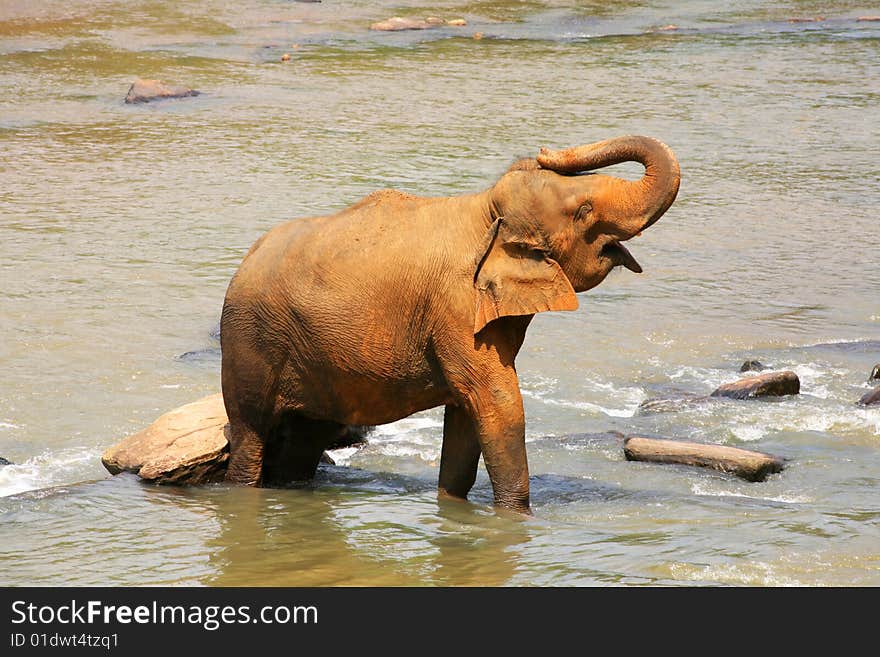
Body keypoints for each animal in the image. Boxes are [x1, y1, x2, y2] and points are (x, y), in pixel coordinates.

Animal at [220, 135, 680, 512]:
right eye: (583, 212)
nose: (543, 150)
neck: (484, 209)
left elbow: (467, 413)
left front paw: (454, 507)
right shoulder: (455, 308)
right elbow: (498, 403)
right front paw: (516, 516)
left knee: (307, 437)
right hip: (249, 341)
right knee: (251, 435)